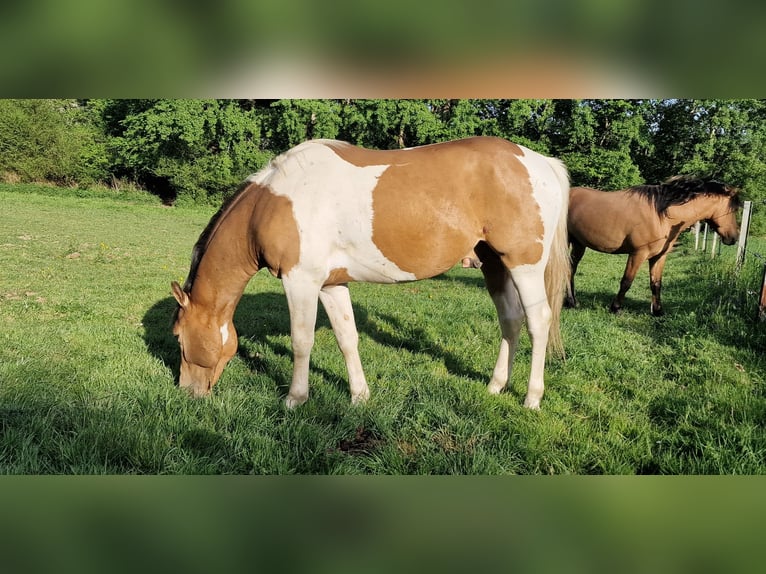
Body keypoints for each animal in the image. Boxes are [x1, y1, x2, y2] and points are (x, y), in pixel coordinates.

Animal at [171, 136, 570, 409]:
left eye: (177, 336)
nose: (186, 392)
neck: (272, 203)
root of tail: (540, 162)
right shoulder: (331, 284)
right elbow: (347, 338)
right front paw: (360, 396)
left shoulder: (300, 281)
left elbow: (302, 342)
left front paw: (295, 399)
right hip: (495, 265)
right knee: (510, 320)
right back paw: (495, 386)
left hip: (524, 266)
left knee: (538, 321)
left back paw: (531, 399)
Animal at [566, 175, 741, 316]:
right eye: (733, 209)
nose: (734, 237)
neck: (662, 215)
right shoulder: (638, 254)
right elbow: (626, 281)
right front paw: (615, 308)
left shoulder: (659, 256)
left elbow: (656, 283)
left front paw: (658, 311)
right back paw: (571, 302)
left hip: (579, 244)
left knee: (570, 269)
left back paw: (572, 302)